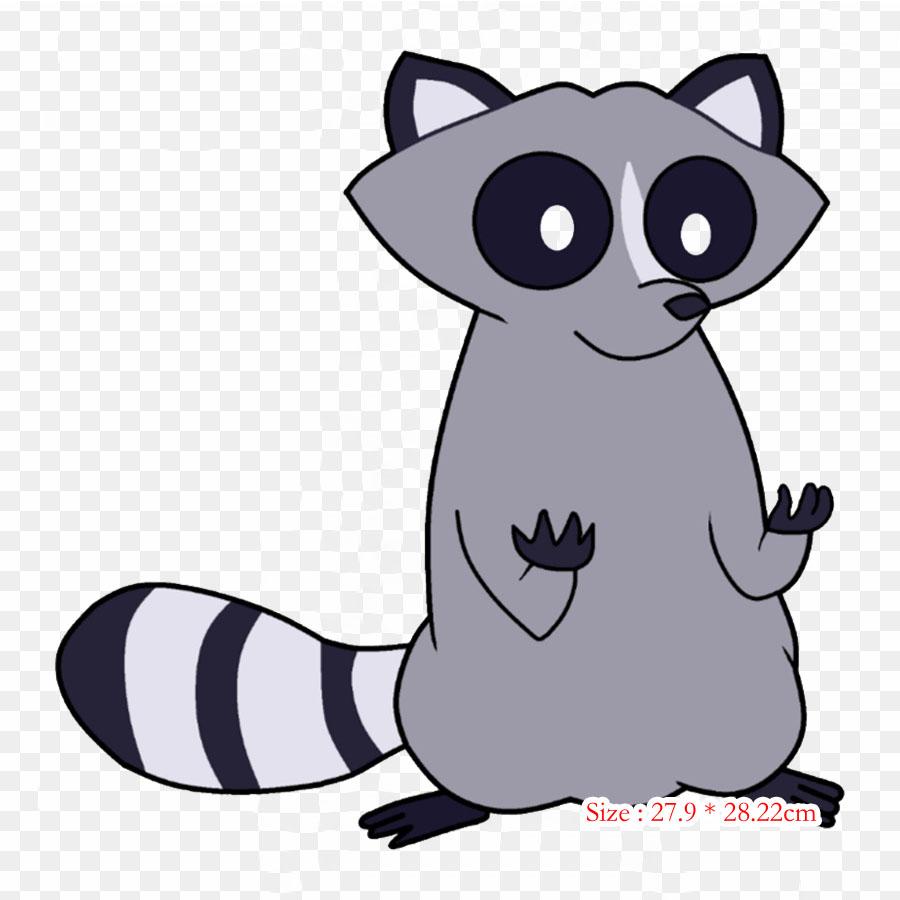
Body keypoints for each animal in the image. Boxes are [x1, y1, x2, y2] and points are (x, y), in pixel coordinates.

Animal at [57, 52, 843, 847]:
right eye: (550, 227)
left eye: (699, 227)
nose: (681, 300)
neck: (613, 368)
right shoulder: (487, 462)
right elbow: (506, 577)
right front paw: (547, 564)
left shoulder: (718, 447)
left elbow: (746, 560)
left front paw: (783, 528)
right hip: (478, 713)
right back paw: (453, 800)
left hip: (757, 692)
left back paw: (768, 779)